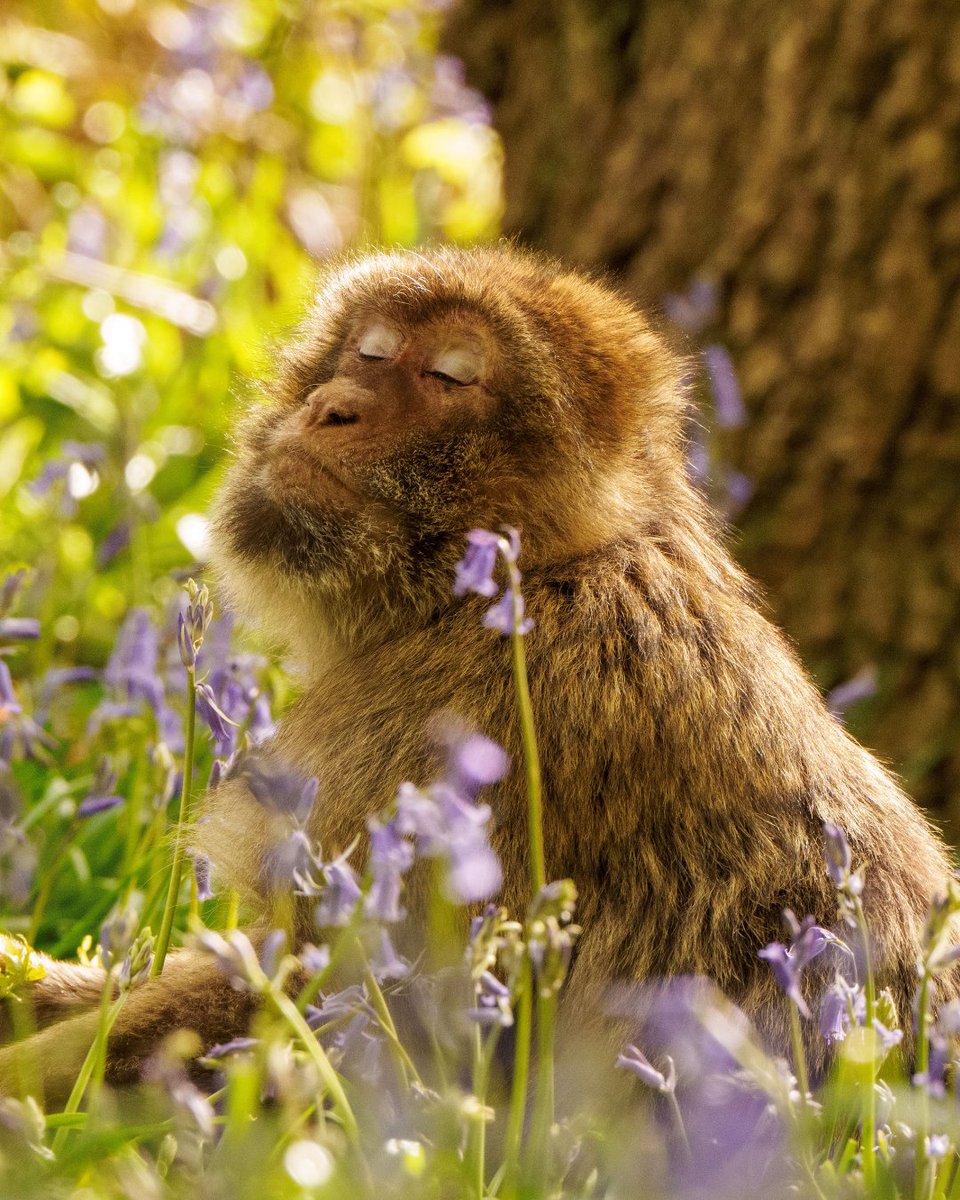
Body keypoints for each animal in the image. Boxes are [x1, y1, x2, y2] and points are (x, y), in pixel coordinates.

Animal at [3, 243, 956, 1103]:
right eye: (371, 351)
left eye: (449, 376)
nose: (334, 406)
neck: (527, 577)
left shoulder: (453, 729)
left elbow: (336, 997)